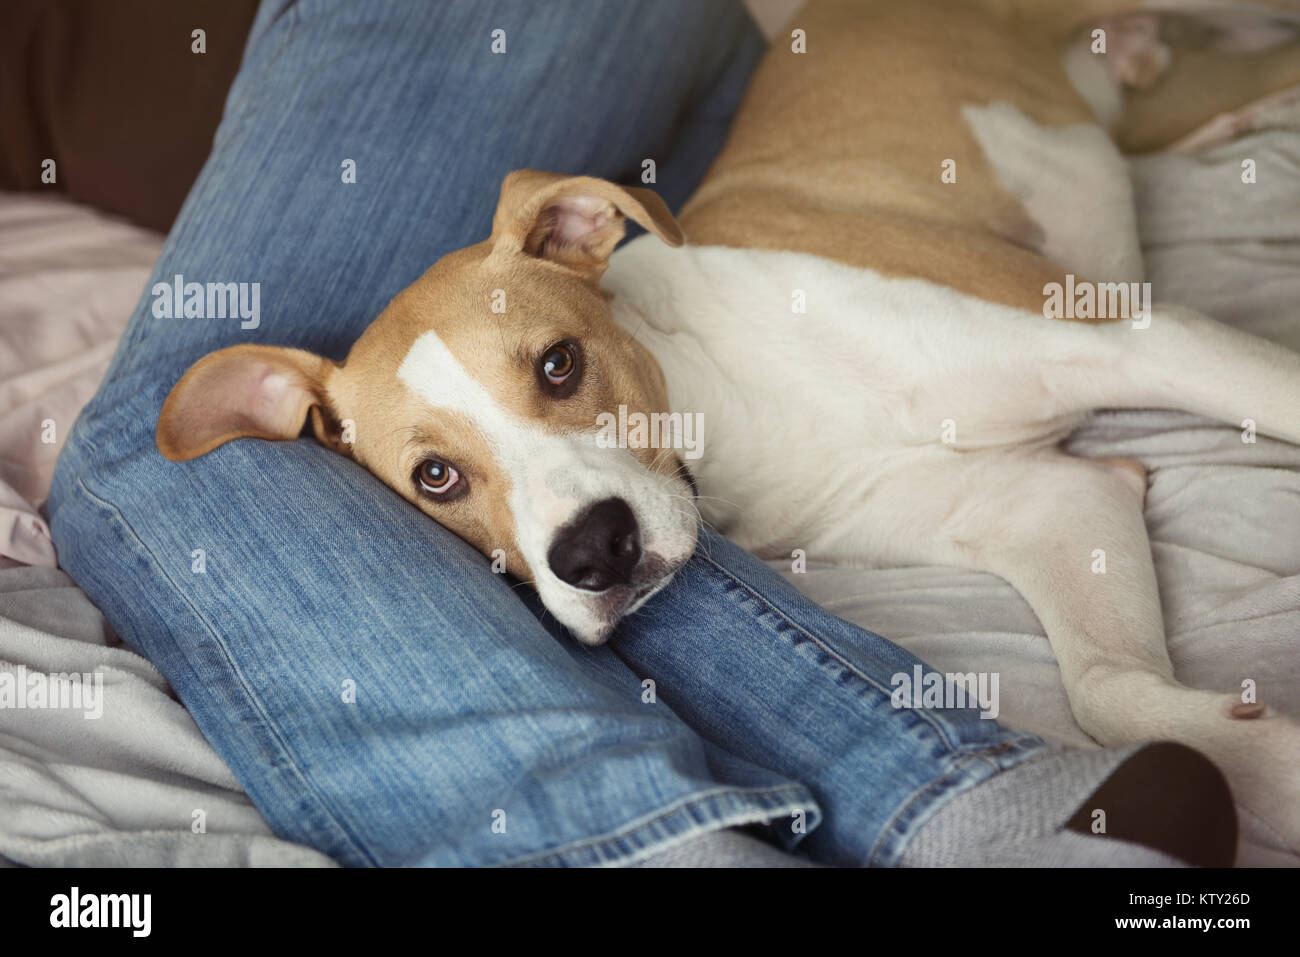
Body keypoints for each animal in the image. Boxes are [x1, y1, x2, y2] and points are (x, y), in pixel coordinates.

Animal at [157, 1, 1300, 852]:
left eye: (559, 362)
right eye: (435, 477)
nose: (595, 551)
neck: (733, 401)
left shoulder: (1132, 335)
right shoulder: (1048, 501)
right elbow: (1110, 685)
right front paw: (1262, 765)